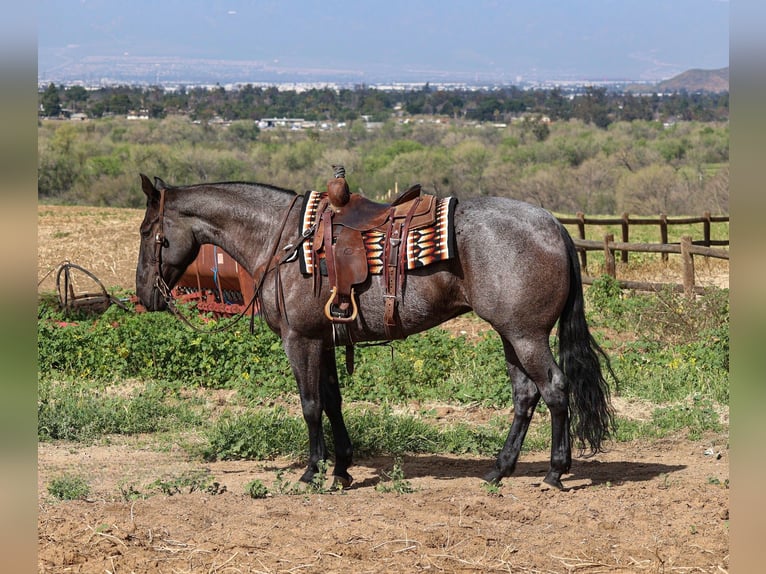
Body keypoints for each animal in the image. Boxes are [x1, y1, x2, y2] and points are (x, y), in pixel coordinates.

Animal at [135, 173, 616, 490]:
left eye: (147, 232)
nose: (144, 294)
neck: (282, 240)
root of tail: (554, 226)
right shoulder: (325, 340)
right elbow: (332, 401)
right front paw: (342, 468)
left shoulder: (300, 340)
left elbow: (310, 405)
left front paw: (313, 470)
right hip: (510, 335)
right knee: (526, 395)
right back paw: (499, 469)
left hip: (526, 335)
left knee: (554, 389)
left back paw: (555, 471)